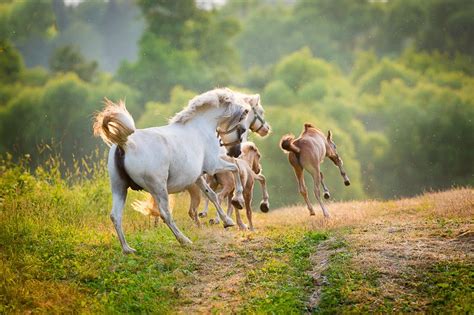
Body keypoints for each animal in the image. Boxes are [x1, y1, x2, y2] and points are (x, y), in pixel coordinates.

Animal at [94, 89, 254, 254]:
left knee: (116, 216)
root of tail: (125, 143)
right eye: (242, 129)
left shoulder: (198, 177)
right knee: (165, 214)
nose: (236, 152)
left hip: (119, 187)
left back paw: (127, 249)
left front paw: (227, 221)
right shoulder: (213, 165)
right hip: (158, 188)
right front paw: (238, 200)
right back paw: (184, 240)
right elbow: (235, 169)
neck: (199, 128)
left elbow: (212, 195)